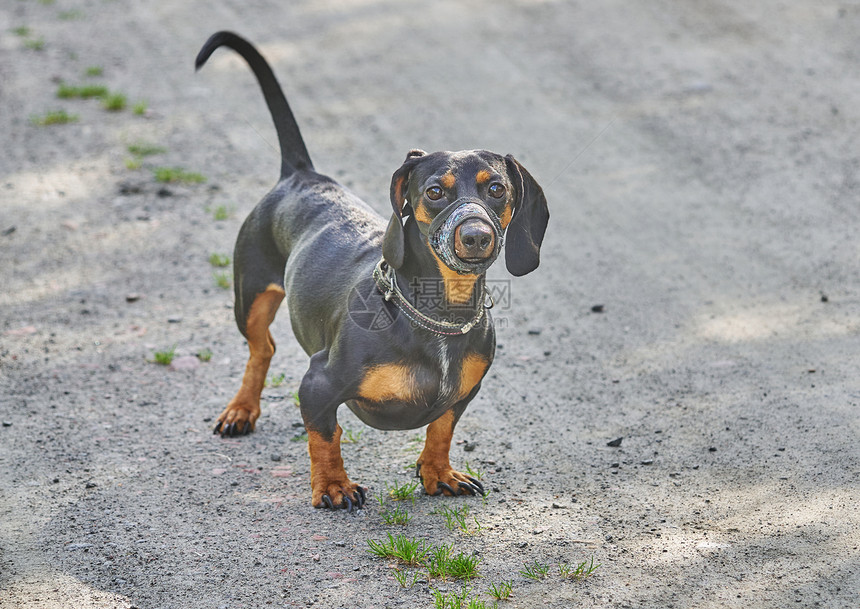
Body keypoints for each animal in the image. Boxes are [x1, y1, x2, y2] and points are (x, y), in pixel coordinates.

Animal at [196, 32, 548, 508]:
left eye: (496, 189)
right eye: (434, 191)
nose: (476, 236)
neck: (438, 315)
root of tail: (302, 176)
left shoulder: (463, 394)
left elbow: (442, 428)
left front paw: (438, 473)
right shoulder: (318, 383)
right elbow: (326, 436)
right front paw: (333, 486)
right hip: (249, 295)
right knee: (261, 347)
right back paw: (241, 410)